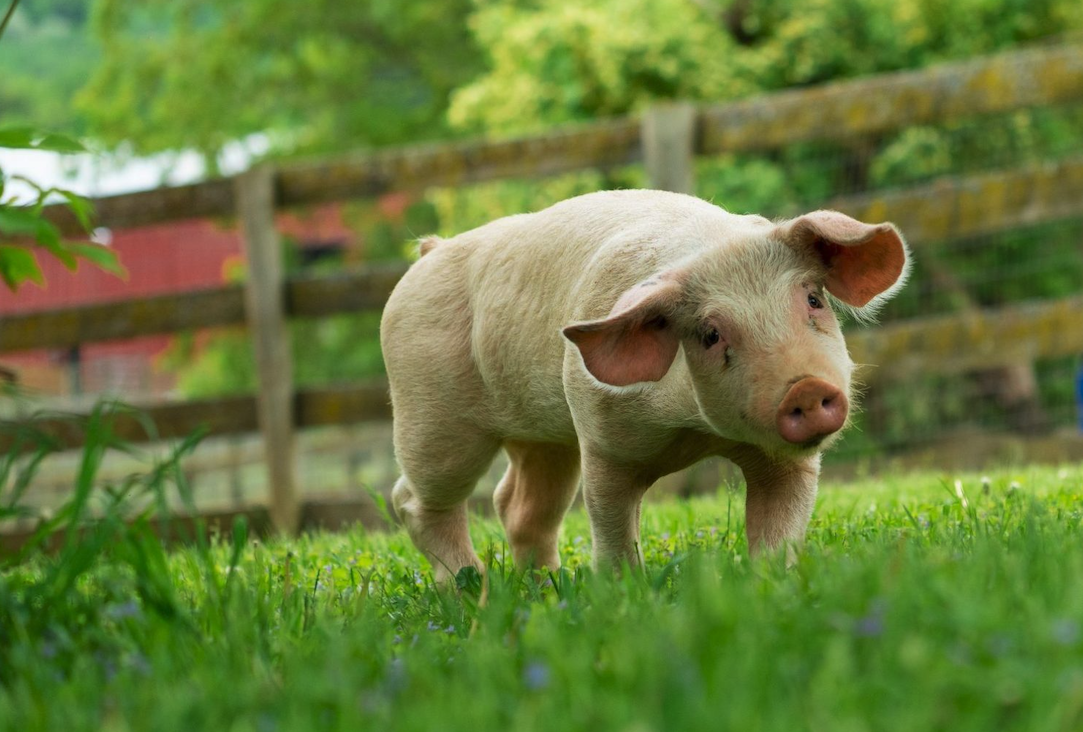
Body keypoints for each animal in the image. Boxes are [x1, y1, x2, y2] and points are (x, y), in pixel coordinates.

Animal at [379, 191, 905, 580]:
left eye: (813, 299)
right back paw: (471, 590)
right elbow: (611, 527)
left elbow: (779, 530)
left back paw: (543, 586)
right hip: (431, 411)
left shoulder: (784, 462)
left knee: (515, 504)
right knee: (416, 500)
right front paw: (622, 592)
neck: (693, 433)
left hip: (544, 437)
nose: (804, 389)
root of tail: (430, 250)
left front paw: (773, 582)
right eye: (710, 334)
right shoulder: (602, 441)